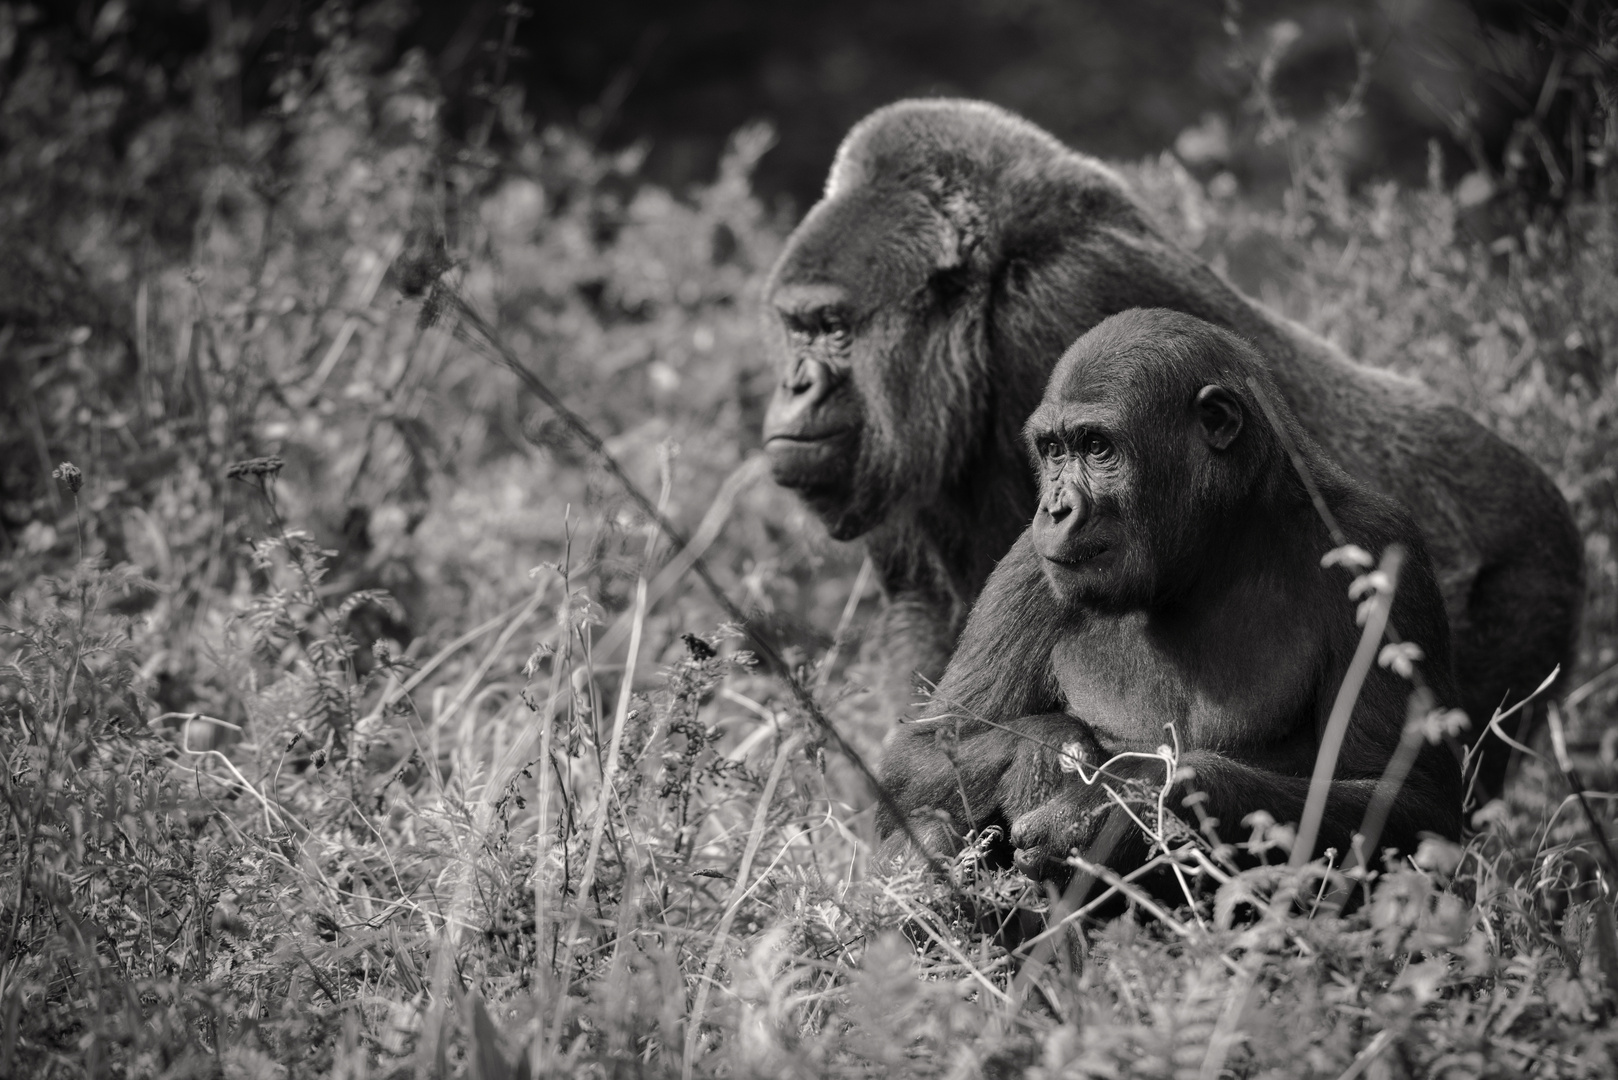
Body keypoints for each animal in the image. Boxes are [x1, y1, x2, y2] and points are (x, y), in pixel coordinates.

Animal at [757, 97, 1579, 799]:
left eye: (832, 327)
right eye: (795, 328)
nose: (793, 386)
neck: (987, 290)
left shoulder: (1060, 309)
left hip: (1527, 589)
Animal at [873, 307, 1469, 880]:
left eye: (1096, 446)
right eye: (1053, 450)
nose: (1056, 508)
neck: (1214, 553)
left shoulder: (1375, 543)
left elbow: (1403, 799)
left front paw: (1135, 799)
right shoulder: (1027, 569)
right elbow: (920, 754)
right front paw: (1038, 754)